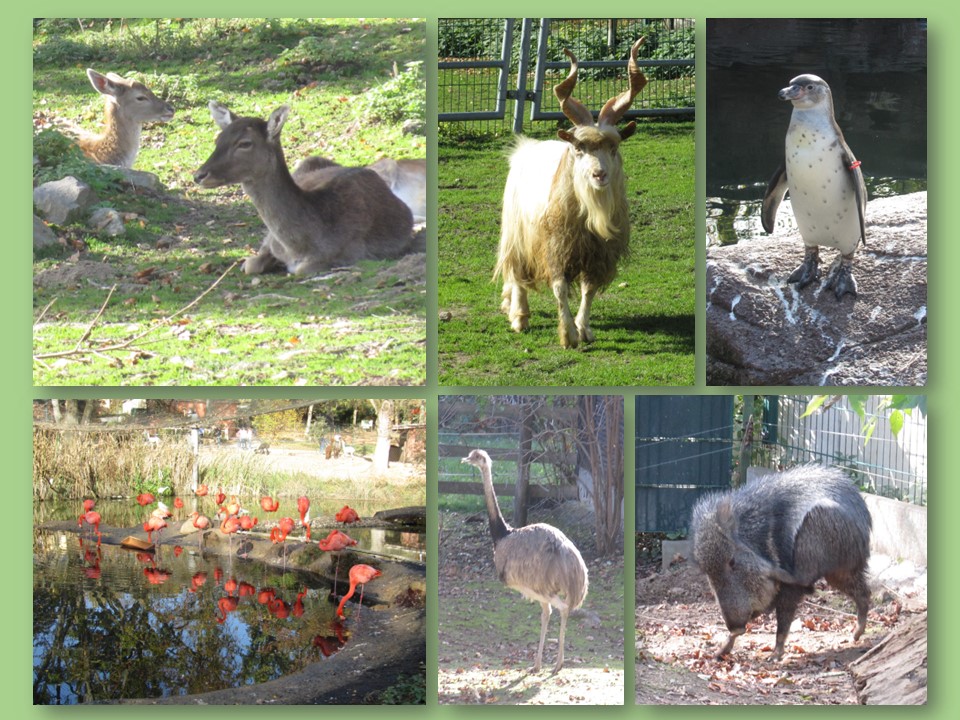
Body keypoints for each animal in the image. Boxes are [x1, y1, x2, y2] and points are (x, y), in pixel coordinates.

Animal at [194, 102, 416, 278]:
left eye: (245, 143)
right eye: (218, 139)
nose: (199, 175)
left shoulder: (351, 253)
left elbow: (300, 270)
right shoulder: (270, 240)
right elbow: (250, 265)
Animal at [462, 450, 588, 676]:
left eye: (476, 456)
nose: (465, 459)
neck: (503, 534)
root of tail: (576, 571)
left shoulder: (532, 588)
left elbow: (547, 613)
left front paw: (537, 664)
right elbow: (546, 614)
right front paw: (537, 664)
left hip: (544, 586)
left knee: (563, 608)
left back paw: (558, 664)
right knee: (556, 610)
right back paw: (554, 663)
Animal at [496, 39, 644, 348]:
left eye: (613, 147)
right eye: (579, 148)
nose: (599, 175)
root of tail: (524, 148)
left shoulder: (598, 254)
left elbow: (588, 291)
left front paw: (583, 329)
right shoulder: (555, 247)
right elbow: (559, 288)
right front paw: (568, 335)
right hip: (517, 233)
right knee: (517, 273)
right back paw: (519, 316)